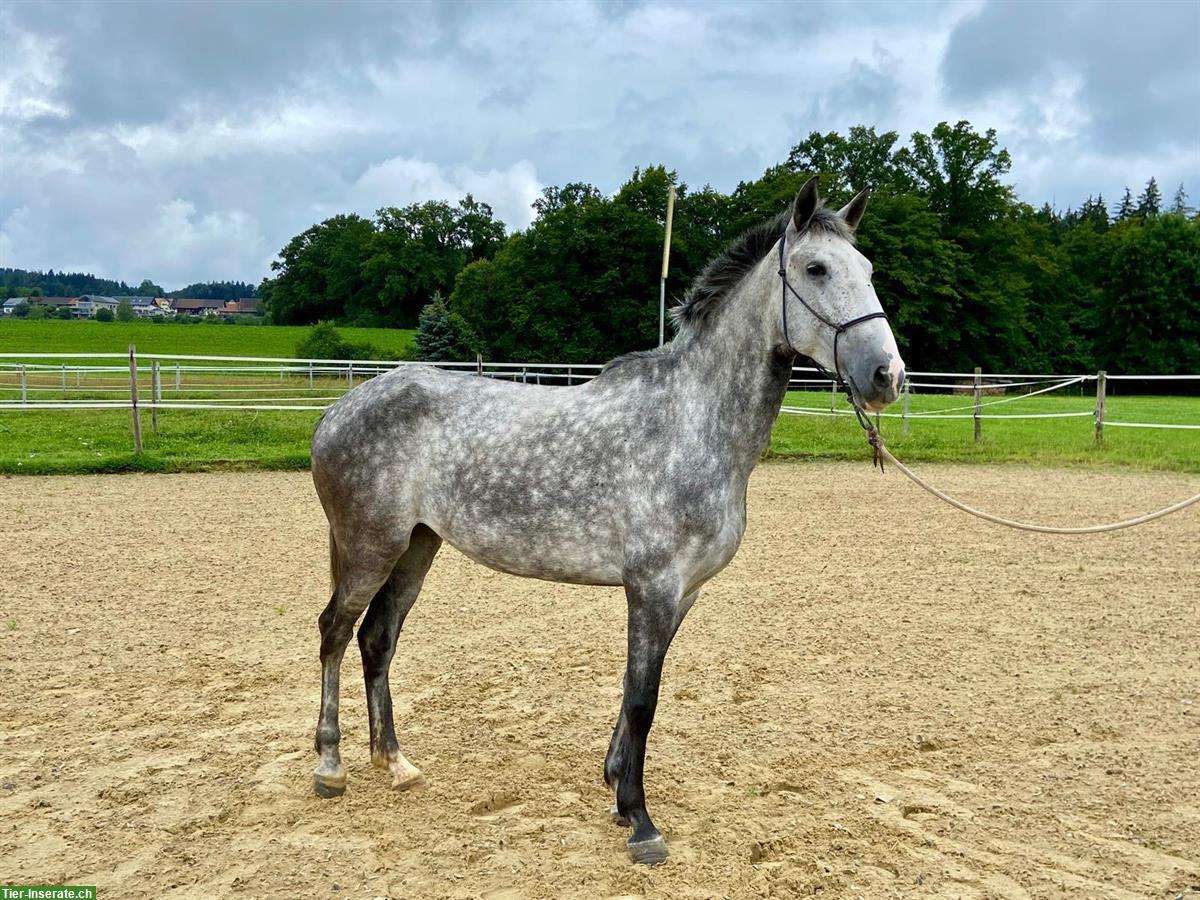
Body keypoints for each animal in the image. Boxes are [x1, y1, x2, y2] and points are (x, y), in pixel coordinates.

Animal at [309, 177, 902, 868]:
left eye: (868, 269)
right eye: (815, 268)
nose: (888, 376)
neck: (690, 422)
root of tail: (336, 411)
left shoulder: (681, 594)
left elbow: (635, 691)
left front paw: (618, 789)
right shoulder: (652, 586)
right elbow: (643, 700)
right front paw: (642, 823)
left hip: (416, 548)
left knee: (377, 639)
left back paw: (396, 763)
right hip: (370, 547)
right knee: (333, 631)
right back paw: (330, 766)